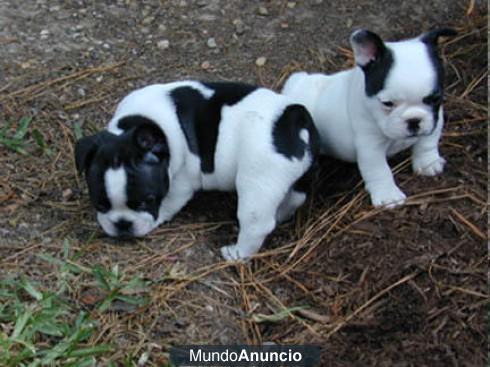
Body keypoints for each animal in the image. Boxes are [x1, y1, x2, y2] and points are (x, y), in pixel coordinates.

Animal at [74, 82, 320, 262]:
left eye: (146, 201)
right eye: (99, 204)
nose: (123, 224)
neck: (142, 123)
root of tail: (294, 123)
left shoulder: (180, 184)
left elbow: (167, 205)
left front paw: (154, 221)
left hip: (258, 180)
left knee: (256, 224)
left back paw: (236, 254)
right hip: (296, 177)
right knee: (294, 198)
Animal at [282, 28, 458, 208]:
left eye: (435, 99)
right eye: (387, 103)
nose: (413, 120)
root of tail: (297, 83)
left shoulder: (435, 121)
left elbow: (427, 143)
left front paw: (428, 163)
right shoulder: (370, 146)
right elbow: (379, 170)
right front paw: (388, 196)